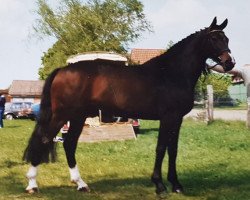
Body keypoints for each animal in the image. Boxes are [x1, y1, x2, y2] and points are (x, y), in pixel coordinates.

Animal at [23, 17, 234, 195]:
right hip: (62, 116)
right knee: (44, 140)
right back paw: (32, 185)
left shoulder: (177, 120)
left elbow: (173, 150)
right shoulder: (168, 118)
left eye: (226, 38)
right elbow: (161, 148)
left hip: (78, 117)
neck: (171, 73)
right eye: (214, 38)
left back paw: (81, 184)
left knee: (69, 144)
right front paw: (159, 185)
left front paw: (176, 185)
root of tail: (62, 70)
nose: (229, 63)